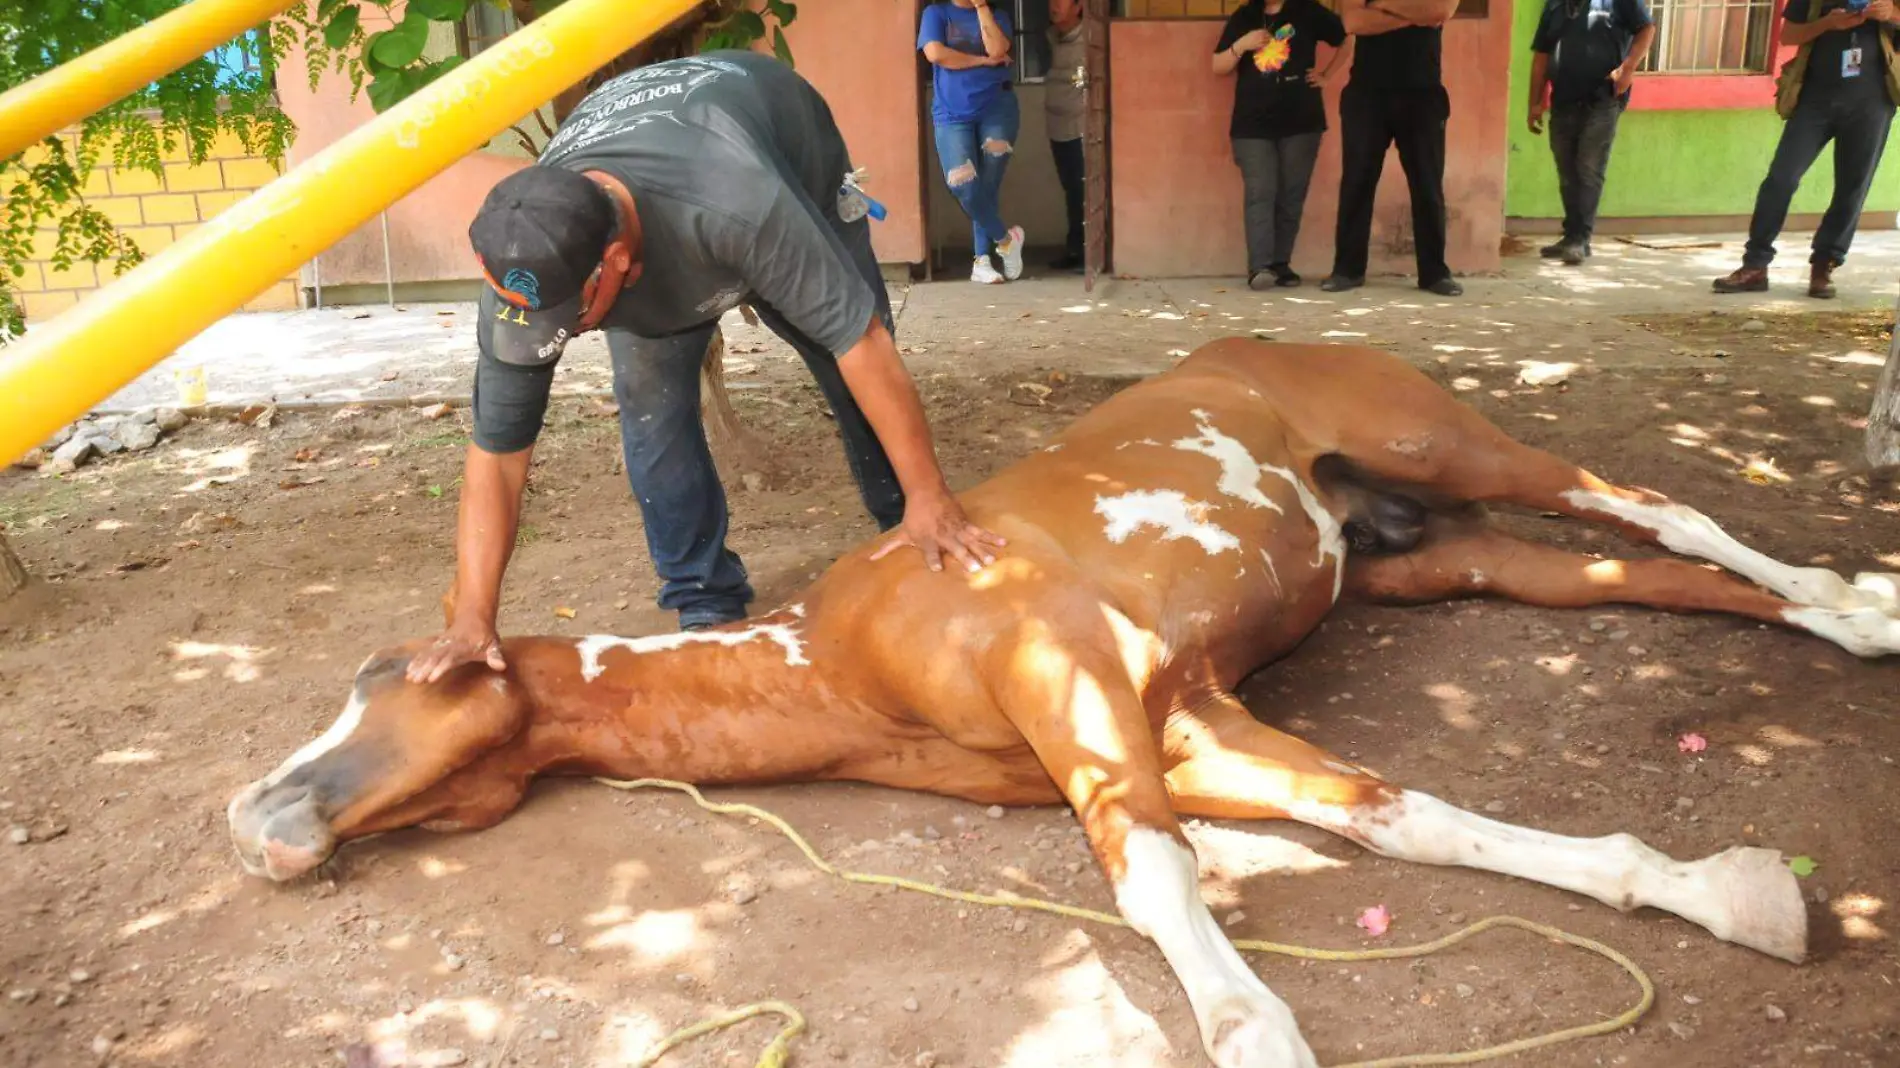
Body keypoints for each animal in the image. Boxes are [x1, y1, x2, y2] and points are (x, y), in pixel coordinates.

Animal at [226, 338, 1900, 1064]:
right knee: (1655, 578)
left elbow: (1156, 884)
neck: (842, 656)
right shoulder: (1189, 725)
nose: (252, 817)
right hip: (1431, 558)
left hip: (1447, 449)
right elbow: (1400, 817)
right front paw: (1735, 896)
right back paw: (1853, 609)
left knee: (1648, 504)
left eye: (380, 680)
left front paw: (1253, 1030)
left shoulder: (1084, 690)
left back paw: (1860, 600)